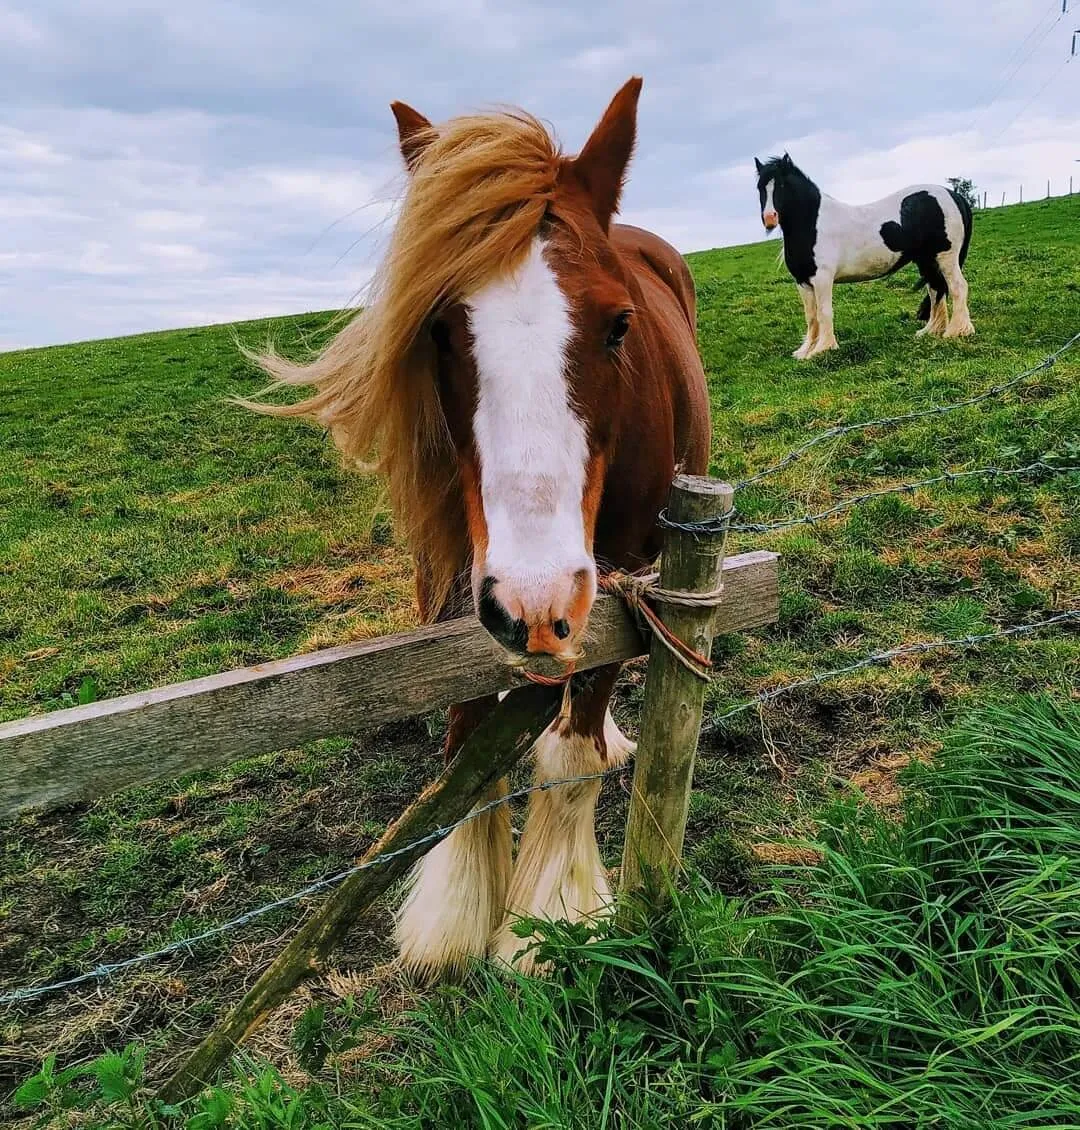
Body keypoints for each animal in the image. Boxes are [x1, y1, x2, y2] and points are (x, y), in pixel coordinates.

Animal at [248, 77, 711, 978]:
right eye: (436, 329)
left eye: (619, 324)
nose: (533, 601)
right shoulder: (453, 579)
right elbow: (467, 741)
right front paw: (458, 910)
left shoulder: (613, 588)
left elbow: (570, 750)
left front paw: (550, 917)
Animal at [753, 154, 974, 359]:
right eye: (760, 187)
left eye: (783, 184)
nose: (770, 218)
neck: (812, 224)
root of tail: (953, 195)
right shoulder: (803, 282)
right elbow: (811, 316)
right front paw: (806, 351)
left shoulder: (822, 278)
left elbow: (824, 312)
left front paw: (823, 349)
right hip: (927, 260)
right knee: (936, 289)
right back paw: (931, 331)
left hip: (946, 257)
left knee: (957, 287)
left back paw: (956, 331)